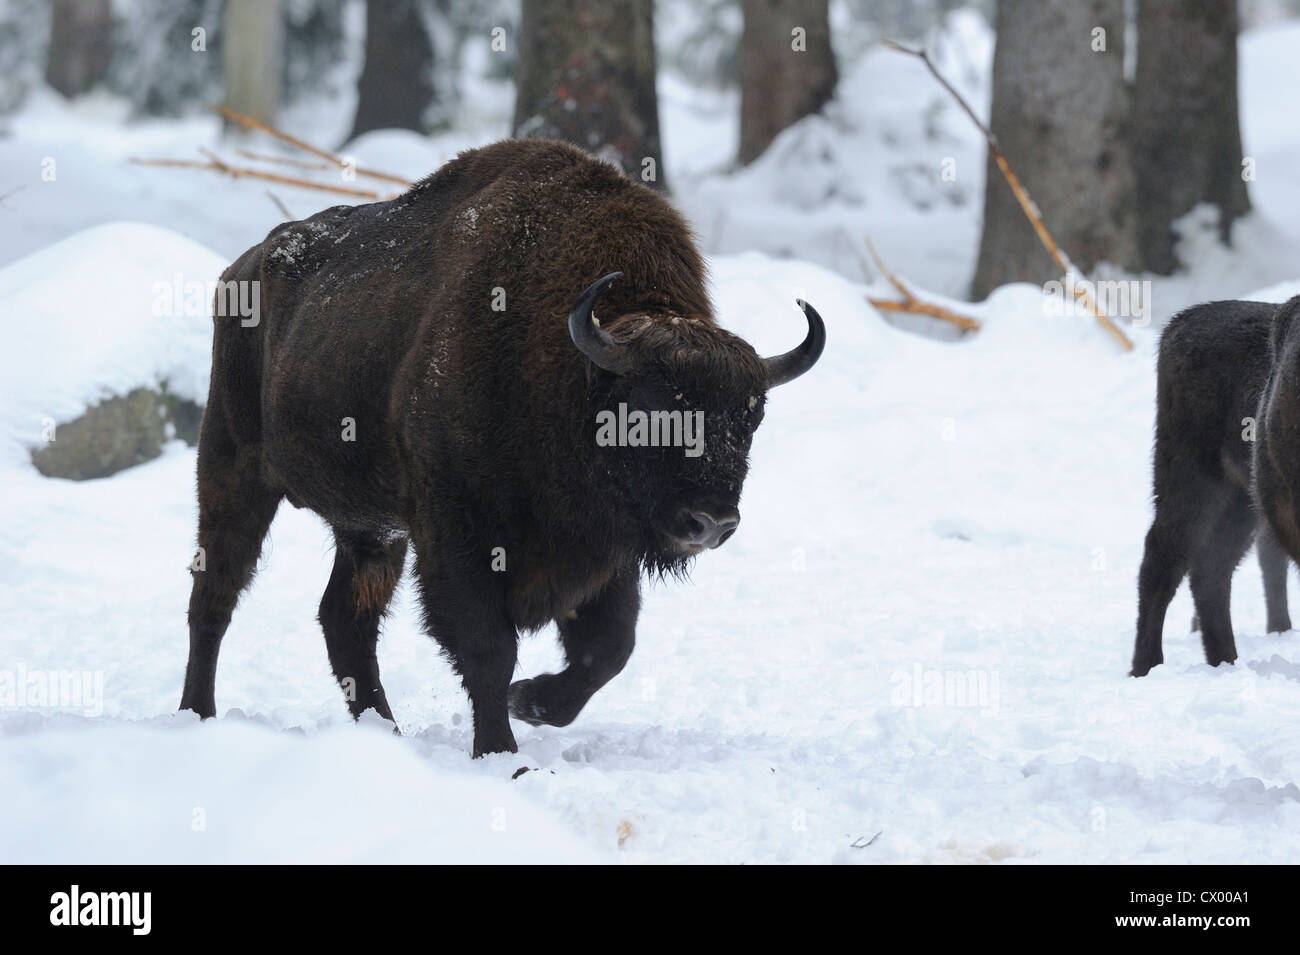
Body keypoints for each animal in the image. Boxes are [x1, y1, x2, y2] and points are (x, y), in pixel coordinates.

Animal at [180, 139, 826, 756]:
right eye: (648, 409)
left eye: (751, 417)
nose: (710, 522)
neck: (570, 372)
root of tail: (241, 269)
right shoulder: (458, 533)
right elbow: (489, 650)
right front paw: (502, 751)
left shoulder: (602, 548)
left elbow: (610, 646)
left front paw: (532, 702)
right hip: (234, 472)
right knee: (214, 597)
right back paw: (196, 714)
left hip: (370, 529)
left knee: (344, 620)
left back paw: (383, 733)